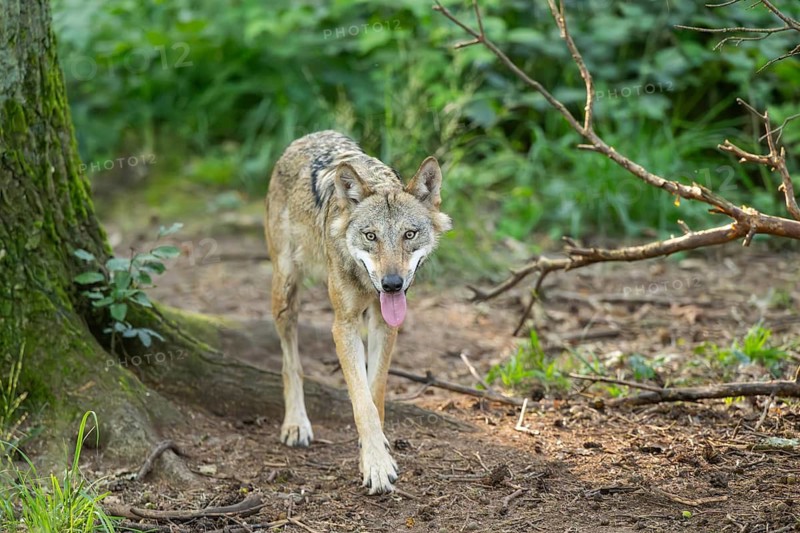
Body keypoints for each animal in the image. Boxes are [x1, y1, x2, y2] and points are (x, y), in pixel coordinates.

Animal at [265, 130, 451, 494]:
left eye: (409, 234)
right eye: (370, 236)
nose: (392, 284)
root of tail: (308, 137)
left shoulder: (384, 323)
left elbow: (374, 392)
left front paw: (376, 453)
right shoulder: (344, 325)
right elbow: (361, 402)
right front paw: (376, 466)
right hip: (285, 293)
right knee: (291, 363)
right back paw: (296, 423)